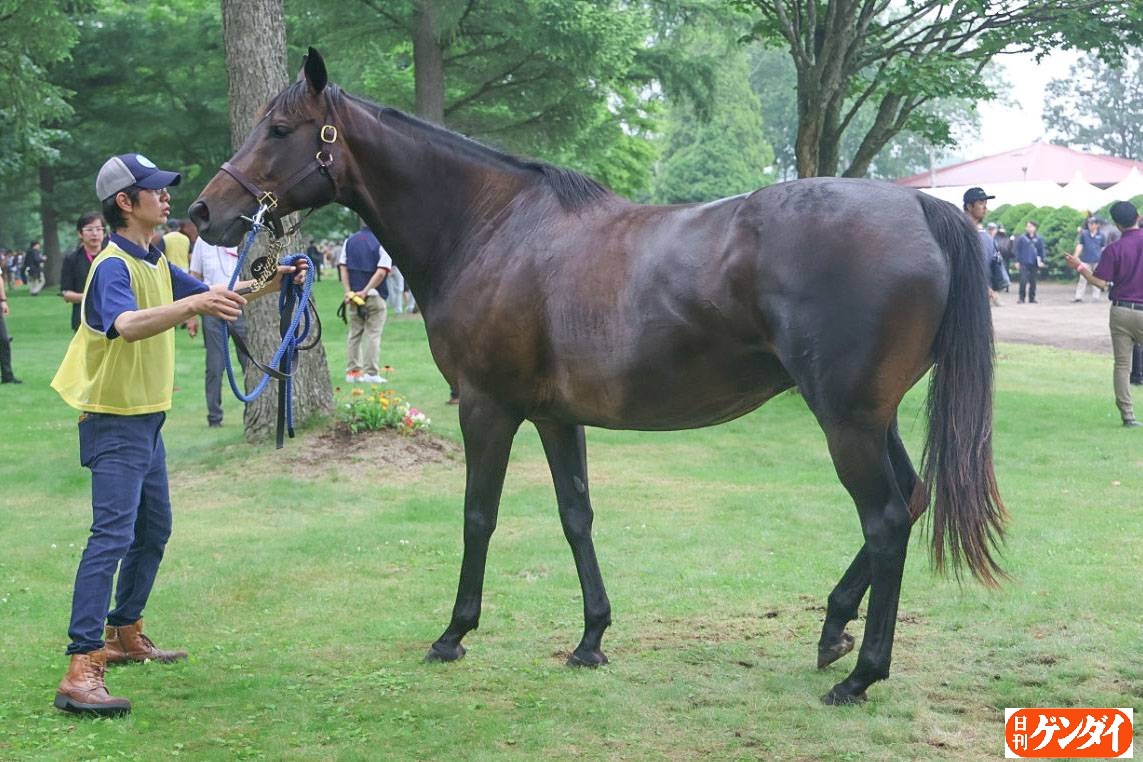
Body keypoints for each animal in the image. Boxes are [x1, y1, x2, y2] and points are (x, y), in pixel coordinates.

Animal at [189, 48, 1006, 705]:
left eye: (280, 129)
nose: (204, 211)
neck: (492, 229)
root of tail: (917, 208)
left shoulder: (486, 408)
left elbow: (478, 516)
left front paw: (454, 633)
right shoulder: (556, 415)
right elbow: (575, 515)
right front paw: (591, 638)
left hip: (845, 419)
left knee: (887, 518)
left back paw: (861, 673)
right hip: (871, 416)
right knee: (910, 498)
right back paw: (834, 628)